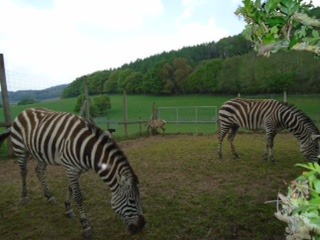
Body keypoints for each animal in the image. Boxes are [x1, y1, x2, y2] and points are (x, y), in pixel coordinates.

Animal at [0, 109, 146, 238]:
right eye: (132, 201)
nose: (142, 226)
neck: (87, 150)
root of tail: (24, 111)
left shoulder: (77, 170)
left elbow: (70, 188)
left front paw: (68, 209)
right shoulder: (71, 169)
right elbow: (78, 196)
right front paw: (85, 225)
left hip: (42, 154)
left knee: (39, 171)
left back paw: (49, 196)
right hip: (20, 149)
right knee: (23, 172)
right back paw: (24, 197)